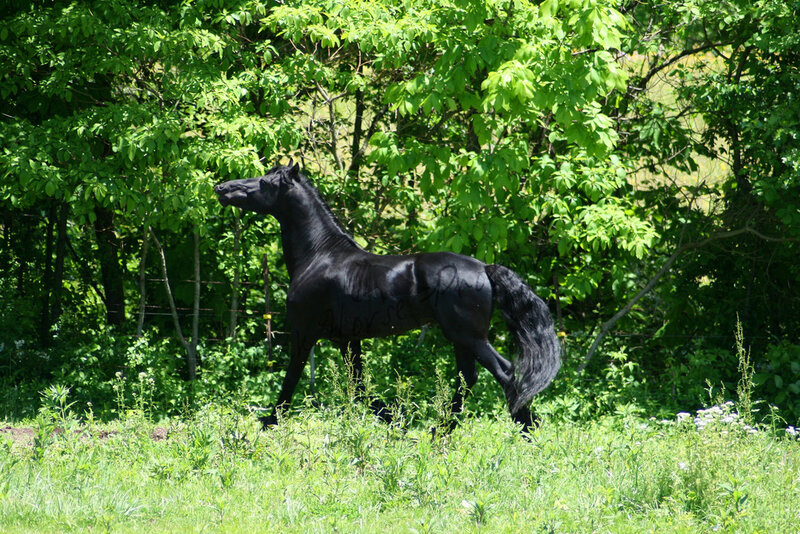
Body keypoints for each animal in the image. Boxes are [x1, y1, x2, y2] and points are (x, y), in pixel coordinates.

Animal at [214, 162, 561, 432]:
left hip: (468, 335)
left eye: (264, 181)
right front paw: (395, 420)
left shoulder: (304, 333)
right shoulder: (347, 340)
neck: (319, 256)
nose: (221, 188)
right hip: (461, 338)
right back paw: (440, 431)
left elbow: (291, 378)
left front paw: (270, 422)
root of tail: (484, 268)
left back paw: (525, 428)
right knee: (467, 378)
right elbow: (359, 387)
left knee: (504, 371)